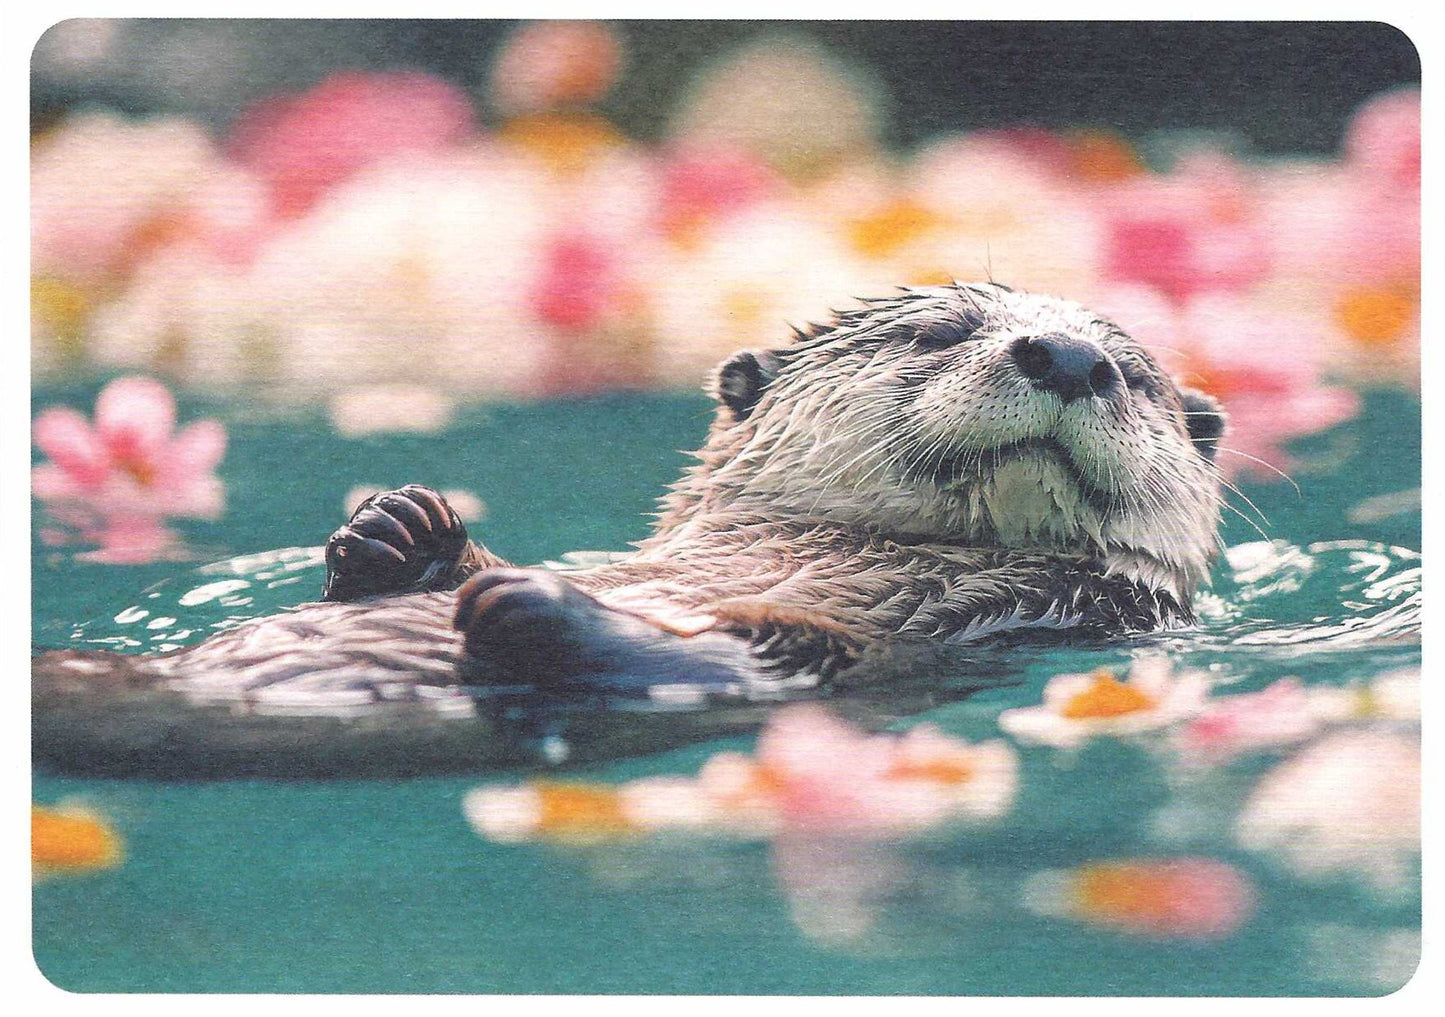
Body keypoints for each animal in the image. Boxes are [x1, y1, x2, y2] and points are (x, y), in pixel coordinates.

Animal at [33, 283, 1227, 778]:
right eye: (940, 331)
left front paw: (527, 595)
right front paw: (396, 527)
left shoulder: (1009, 613)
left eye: (1136, 375)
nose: (1069, 356)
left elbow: (786, 653)